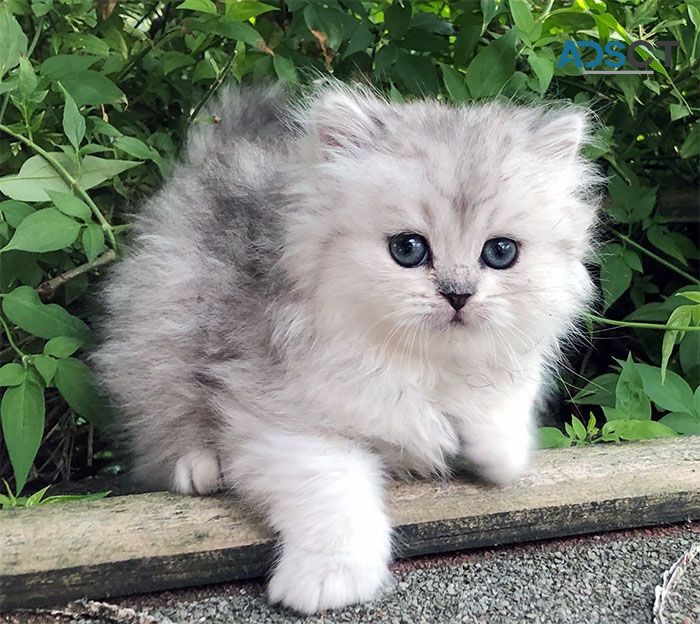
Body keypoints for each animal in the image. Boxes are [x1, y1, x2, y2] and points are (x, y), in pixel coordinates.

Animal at [94, 83, 600, 616]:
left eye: (500, 253)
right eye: (408, 249)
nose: (459, 295)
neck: (417, 363)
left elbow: (502, 421)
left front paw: (492, 447)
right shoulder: (282, 420)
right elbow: (335, 493)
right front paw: (329, 577)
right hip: (165, 323)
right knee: (162, 420)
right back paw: (197, 467)